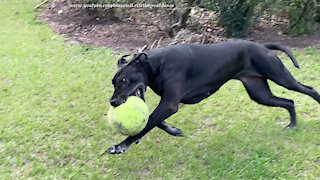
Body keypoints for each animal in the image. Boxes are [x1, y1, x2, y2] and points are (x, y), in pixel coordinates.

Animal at [106, 40, 320, 155]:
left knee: (309, 90)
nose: (113, 102)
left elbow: (148, 124)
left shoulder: (169, 104)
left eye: (124, 80)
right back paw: (292, 124)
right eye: (113, 82)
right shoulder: (167, 104)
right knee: (289, 102)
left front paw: (120, 146)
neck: (157, 64)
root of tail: (263, 46)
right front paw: (173, 130)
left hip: (281, 77)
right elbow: (152, 122)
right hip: (260, 93)